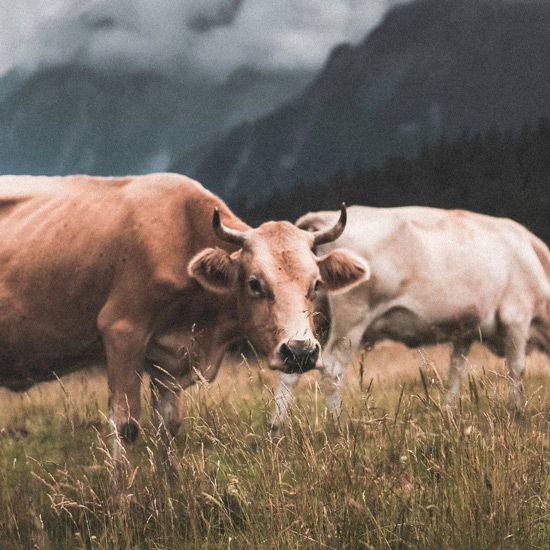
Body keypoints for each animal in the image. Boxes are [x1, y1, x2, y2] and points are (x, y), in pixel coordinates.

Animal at [0, 176, 370, 458]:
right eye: (254, 283)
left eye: (316, 283)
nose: (300, 351)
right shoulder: (122, 333)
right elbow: (125, 426)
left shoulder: (170, 356)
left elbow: (167, 427)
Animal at [272, 205, 550, 434]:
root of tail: (323, 217)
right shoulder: (516, 318)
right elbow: (516, 368)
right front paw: (517, 413)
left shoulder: (465, 331)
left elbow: (456, 372)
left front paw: (449, 414)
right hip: (351, 320)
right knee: (331, 369)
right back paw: (339, 427)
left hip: (310, 323)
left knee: (295, 365)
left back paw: (276, 429)